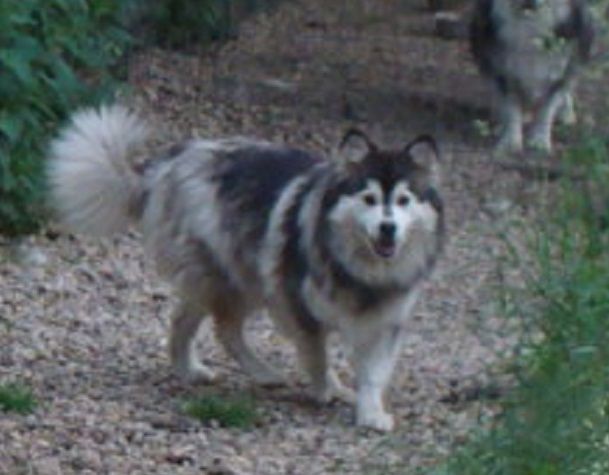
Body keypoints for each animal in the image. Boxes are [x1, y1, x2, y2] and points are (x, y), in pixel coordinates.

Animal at [48, 107, 442, 432]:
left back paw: (188, 369)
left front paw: (370, 412)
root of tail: (167, 164)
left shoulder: (385, 321)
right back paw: (263, 373)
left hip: (228, 278)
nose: (388, 228)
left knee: (183, 320)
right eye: (369, 199)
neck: (361, 268)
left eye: (404, 200)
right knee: (225, 329)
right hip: (234, 276)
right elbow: (318, 356)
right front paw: (324, 389)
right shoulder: (298, 305)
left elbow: (374, 373)